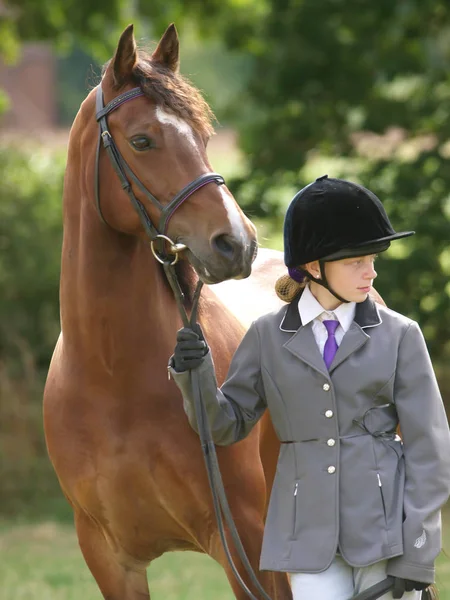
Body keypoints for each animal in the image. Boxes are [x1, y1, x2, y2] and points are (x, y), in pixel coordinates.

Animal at [44, 22, 292, 600]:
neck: (113, 376)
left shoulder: (245, 545)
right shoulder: (110, 559)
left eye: (202, 137)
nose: (236, 242)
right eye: (142, 141)